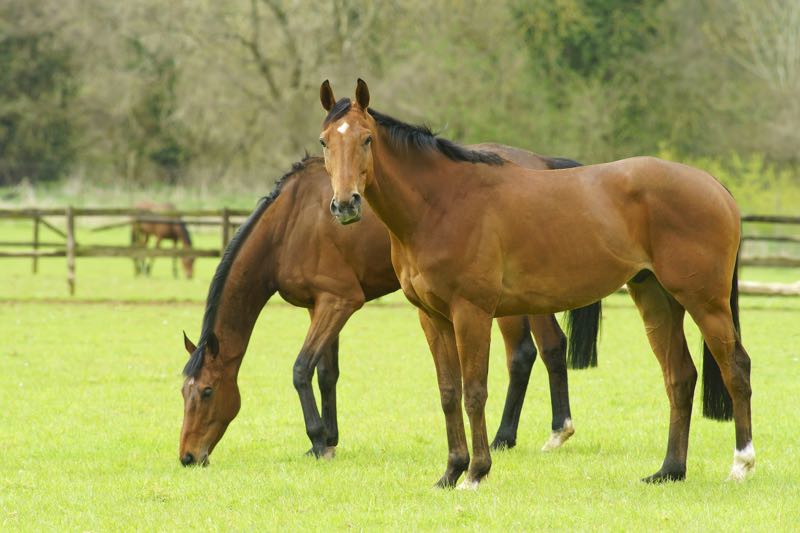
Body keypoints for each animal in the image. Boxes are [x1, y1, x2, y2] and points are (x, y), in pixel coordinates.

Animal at [177, 151, 600, 466]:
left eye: (208, 392)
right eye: (184, 393)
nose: (187, 456)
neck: (291, 224)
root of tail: (542, 163)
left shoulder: (339, 301)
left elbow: (301, 370)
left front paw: (317, 440)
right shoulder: (321, 306)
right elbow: (326, 373)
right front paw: (328, 439)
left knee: (534, 352)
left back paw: (530, 433)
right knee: (538, 352)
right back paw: (526, 434)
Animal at [316, 79, 752, 486]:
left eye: (366, 139)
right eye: (324, 142)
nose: (345, 204)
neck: (441, 203)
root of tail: (713, 184)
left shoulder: (471, 313)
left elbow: (475, 392)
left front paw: (475, 473)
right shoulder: (432, 318)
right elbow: (449, 393)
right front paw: (450, 472)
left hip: (705, 303)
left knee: (736, 369)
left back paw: (741, 465)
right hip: (656, 300)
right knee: (680, 377)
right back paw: (669, 470)